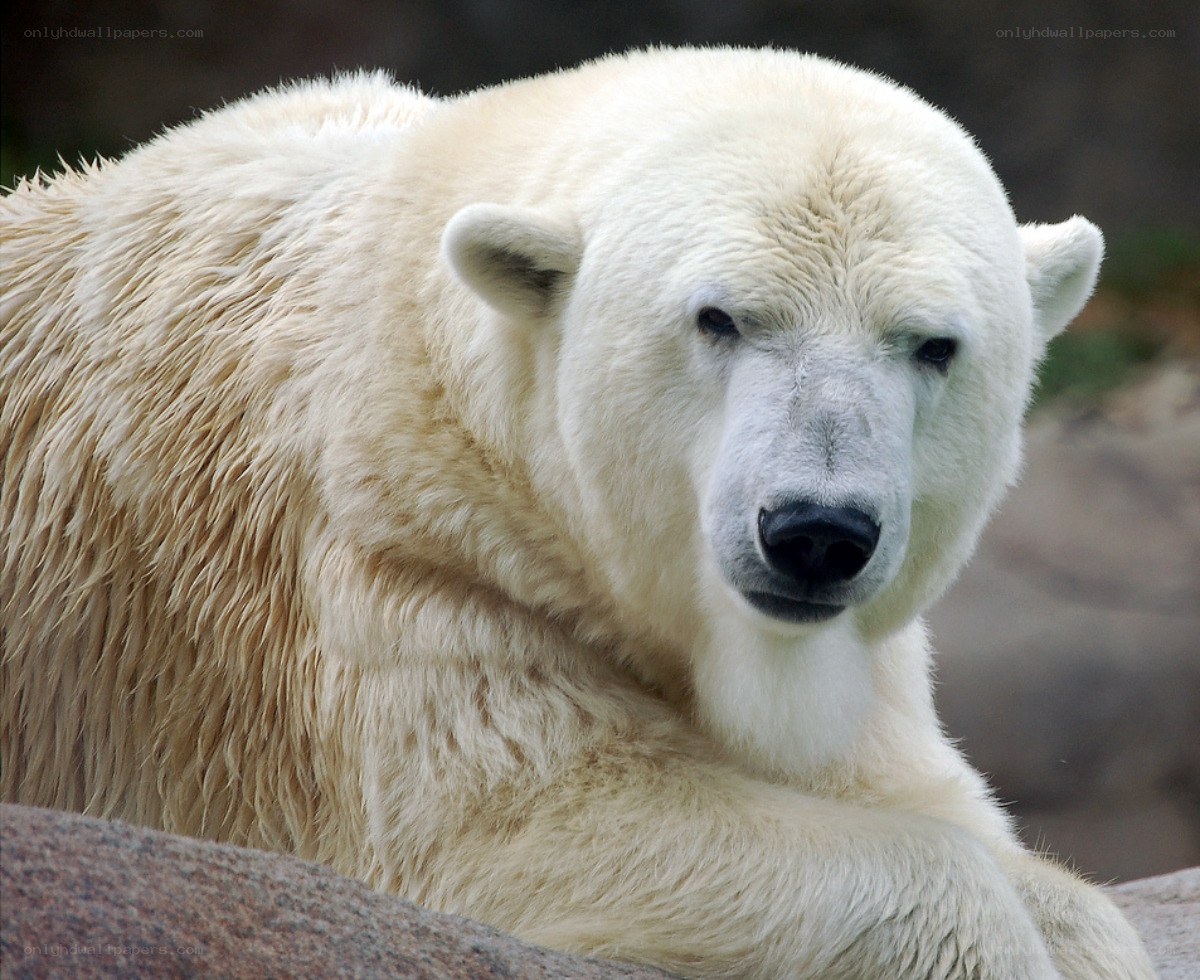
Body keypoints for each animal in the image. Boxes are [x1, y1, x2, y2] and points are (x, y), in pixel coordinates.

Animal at [1, 47, 1154, 978]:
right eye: (720, 318)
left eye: (932, 344)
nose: (817, 532)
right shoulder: (397, 585)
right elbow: (520, 828)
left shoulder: (852, 667)